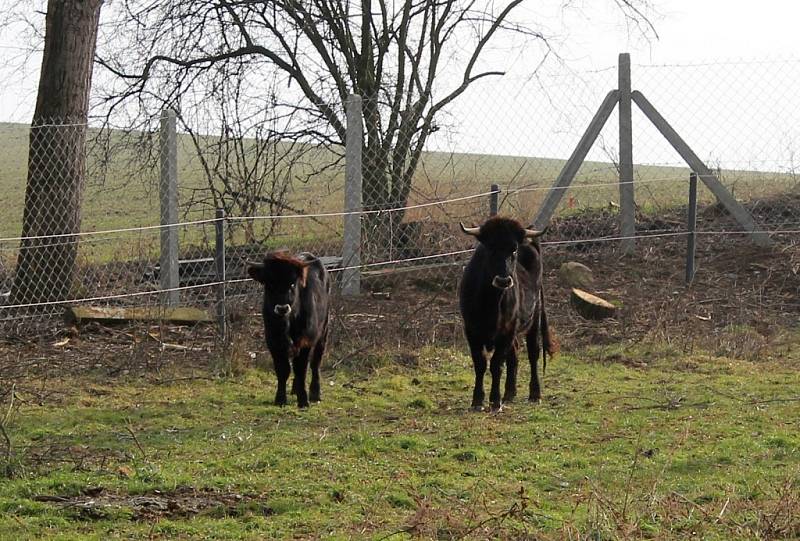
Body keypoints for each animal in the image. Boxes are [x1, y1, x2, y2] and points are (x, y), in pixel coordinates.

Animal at [247, 251, 328, 408]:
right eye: (269, 284)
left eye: (292, 283)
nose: (282, 308)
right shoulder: (273, 342)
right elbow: (283, 369)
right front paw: (280, 398)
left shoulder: (305, 341)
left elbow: (301, 369)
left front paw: (303, 400)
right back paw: (295, 389)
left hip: (323, 332)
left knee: (315, 362)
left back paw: (315, 393)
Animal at [460, 215, 560, 410]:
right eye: (490, 248)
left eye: (513, 250)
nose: (503, 280)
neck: (489, 302)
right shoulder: (471, 330)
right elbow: (480, 363)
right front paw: (477, 400)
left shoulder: (506, 331)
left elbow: (496, 364)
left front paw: (495, 400)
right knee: (514, 353)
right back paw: (509, 393)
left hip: (533, 317)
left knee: (533, 353)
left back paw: (534, 393)